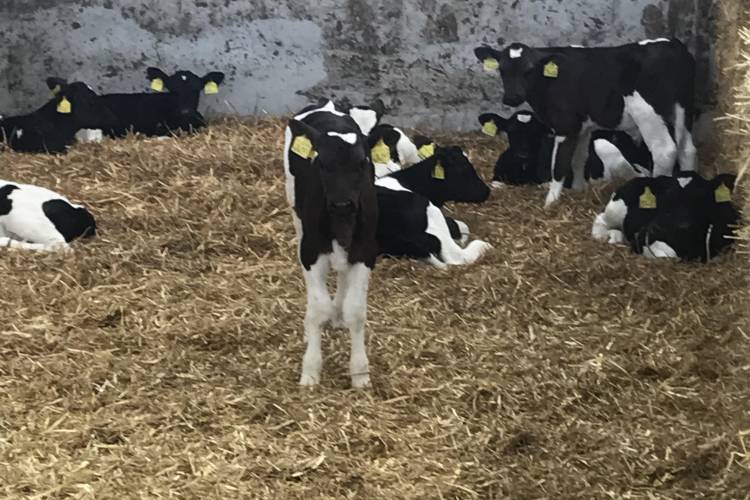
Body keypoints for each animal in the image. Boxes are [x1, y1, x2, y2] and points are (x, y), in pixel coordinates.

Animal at [283, 101, 378, 388]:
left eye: (362, 162)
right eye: (322, 164)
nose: (342, 203)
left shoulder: (366, 252)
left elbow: (355, 311)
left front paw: (360, 373)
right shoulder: (311, 252)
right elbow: (318, 308)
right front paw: (311, 369)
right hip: (295, 213)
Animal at [475, 38, 696, 207]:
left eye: (528, 70)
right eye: (502, 69)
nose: (511, 99)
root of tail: (672, 45)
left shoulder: (564, 124)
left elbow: (560, 164)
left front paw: (551, 202)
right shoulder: (583, 126)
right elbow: (579, 157)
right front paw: (578, 189)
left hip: (648, 114)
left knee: (664, 151)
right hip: (683, 111)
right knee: (687, 150)